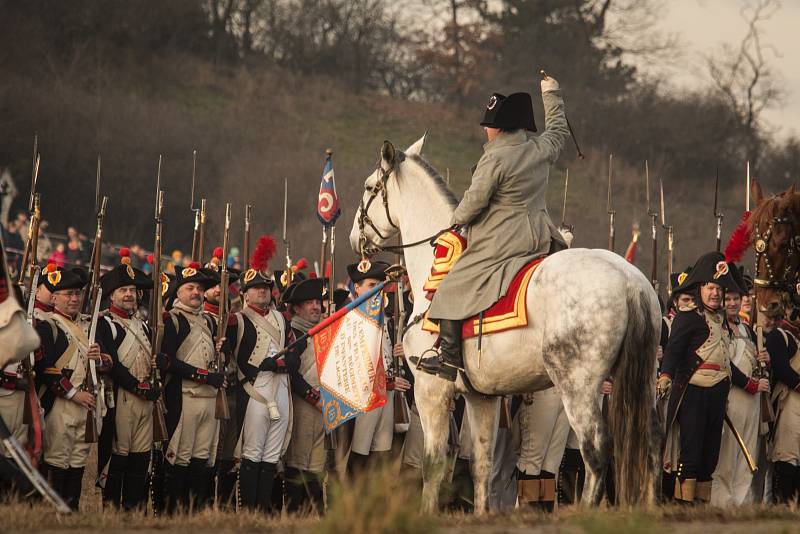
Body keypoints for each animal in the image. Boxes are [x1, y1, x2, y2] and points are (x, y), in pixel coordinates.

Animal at [346, 137, 660, 516]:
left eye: (368, 187)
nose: (354, 238)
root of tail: (630, 281)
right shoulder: (481, 397)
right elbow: (481, 464)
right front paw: (482, 513)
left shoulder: (430, 389)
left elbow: (433, 463)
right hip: (643, 380)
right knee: (651, 443)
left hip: (577, 386)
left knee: (596, 451)